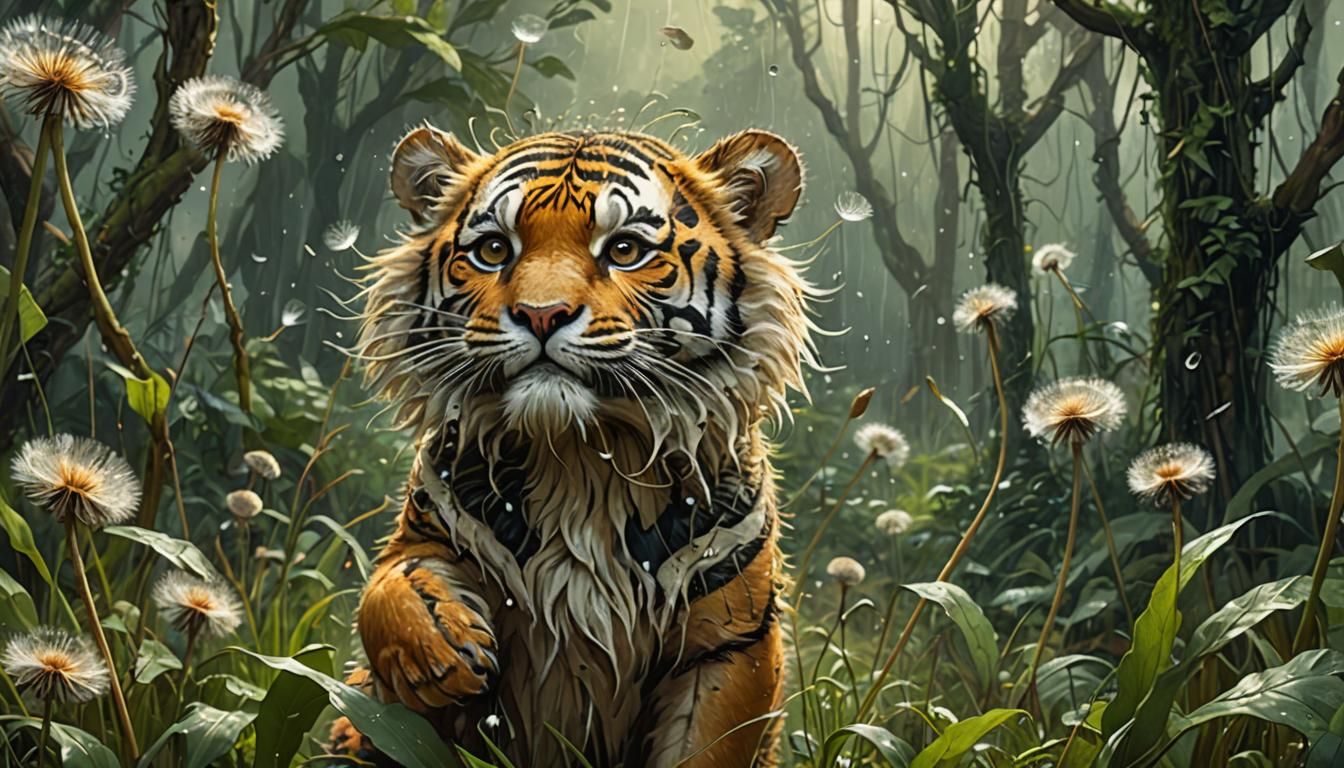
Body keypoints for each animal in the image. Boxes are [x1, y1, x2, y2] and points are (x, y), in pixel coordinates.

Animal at [333, 123, 816, 767]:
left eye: (625, 250)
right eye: (494, 250)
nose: (541, 314)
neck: (582, 462)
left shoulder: (728, 641)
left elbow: (709, 744)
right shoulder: (429, 527)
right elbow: (387, 585)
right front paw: (437, 646)